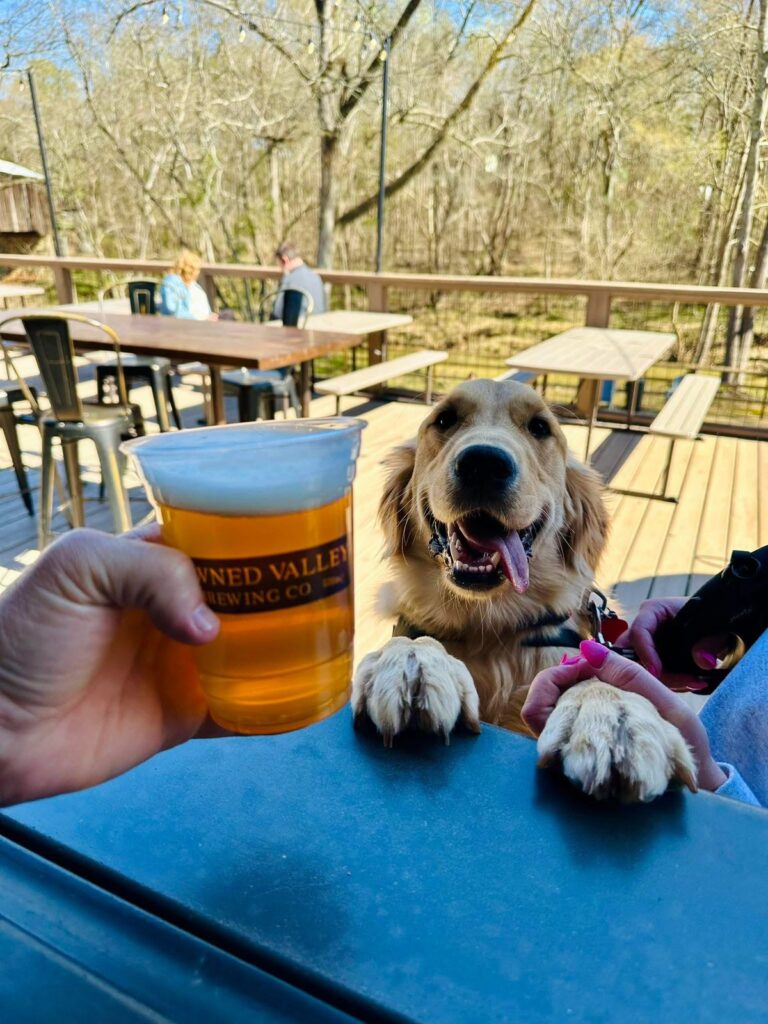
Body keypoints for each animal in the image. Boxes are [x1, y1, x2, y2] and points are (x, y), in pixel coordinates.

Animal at [352, 379, 696, 801]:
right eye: (445, 419)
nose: (483, 464)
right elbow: (416, 638)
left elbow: (592, 676)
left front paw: (613, 715)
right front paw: (410, 661)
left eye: (540, 428)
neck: (491, 627)